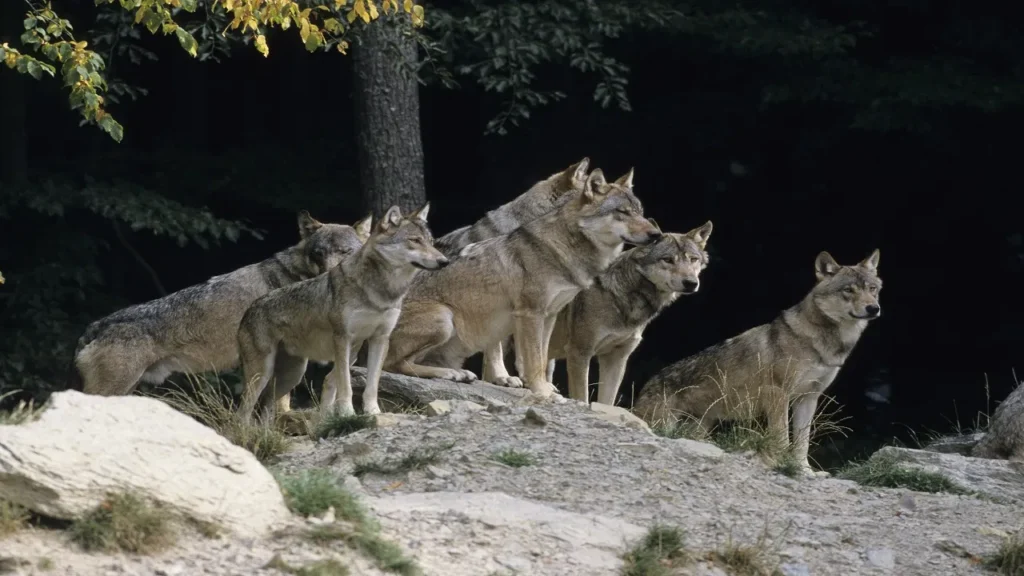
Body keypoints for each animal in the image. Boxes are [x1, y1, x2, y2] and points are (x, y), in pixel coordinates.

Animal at [235, 204, 447, 422]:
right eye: (415, 240)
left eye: (431, 242)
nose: (444, 261)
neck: (381, 292)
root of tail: (249, 309)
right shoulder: (342, 338)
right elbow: (345, 383)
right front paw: (347, 413)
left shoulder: (380, 339)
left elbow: (372, 384)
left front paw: (373, 412)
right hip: (262, 375)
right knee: (243, 412)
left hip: (294, 375)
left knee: (268, 408)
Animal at [383, 169, 662, 398]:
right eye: (622, 212)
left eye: (640, 212)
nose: (656, 234)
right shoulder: (530, 313)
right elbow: (532, 359)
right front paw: (542, 392)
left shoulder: (549, 315)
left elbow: (542, 358)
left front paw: (543, 388)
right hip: (444, 319)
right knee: (392, 364)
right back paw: (451, 374)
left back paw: (457, 374)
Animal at [545, 222, 713, 406]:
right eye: (668, 259)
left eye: (693, 259)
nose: (691, 283)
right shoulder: (579, 352)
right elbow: (582, 397)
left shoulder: (616, 358)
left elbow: (607, 401)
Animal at [634, 250, 882, 476]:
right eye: (849, 290)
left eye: (872, 289)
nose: (873, 308)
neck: (824, 344)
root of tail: (648, 383)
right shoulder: (778, 394)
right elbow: (782, 437)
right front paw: (780, 463)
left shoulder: (808, 398)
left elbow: (802, 442)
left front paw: (804, 470)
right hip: (665, 423)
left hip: (700, 427)